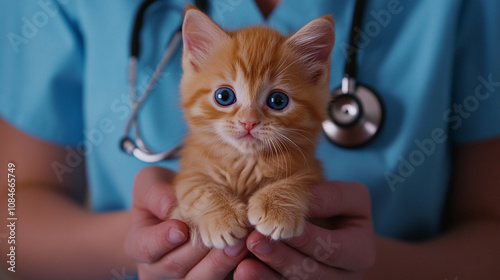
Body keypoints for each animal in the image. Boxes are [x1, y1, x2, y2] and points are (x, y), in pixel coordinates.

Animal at [173, 6, 336, 248]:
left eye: (278, 100)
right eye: (224, 96)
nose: (248, 121)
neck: (245, 162)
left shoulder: (313, 170)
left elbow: (299, 180)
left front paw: (276, 207)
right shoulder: (189, 171)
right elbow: (199, 187)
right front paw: (224, 216)